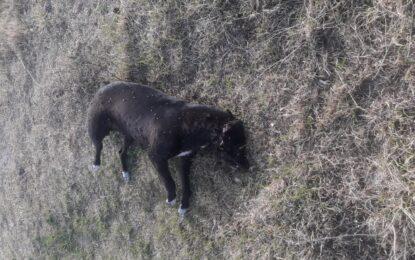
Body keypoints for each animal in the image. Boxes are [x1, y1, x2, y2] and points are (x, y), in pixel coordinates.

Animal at [87, 82, 249, 216]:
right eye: (239, 148)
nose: (248, 167)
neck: (190, 125)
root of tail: (100, 89)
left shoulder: (184, 159)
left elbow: (185, 183)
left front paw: (184, 205)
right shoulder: (156, 157)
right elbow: (168, 180)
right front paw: (171, 198)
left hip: (130, 135)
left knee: (121, 152)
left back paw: (125, 172)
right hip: (97, 130)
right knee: (98, 146)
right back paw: (96, 164)